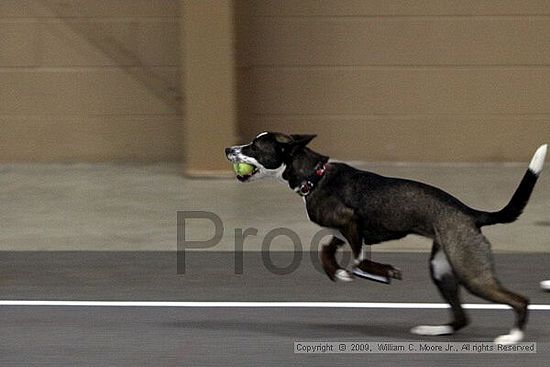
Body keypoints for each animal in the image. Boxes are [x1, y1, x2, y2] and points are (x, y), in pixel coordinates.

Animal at [225, 132, 548, 344]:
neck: (315, 176)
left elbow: (357, 261)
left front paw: (380, 271)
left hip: (471, 272)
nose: (229, 148)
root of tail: (470, 213)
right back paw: (434, 330)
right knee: (461, 318)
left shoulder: (351, 222)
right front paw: (338, 273)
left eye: (254, 146)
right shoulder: (345, 232)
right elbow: (327, 251)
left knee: (519, 300)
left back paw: (512, 337)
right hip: (441, 269)